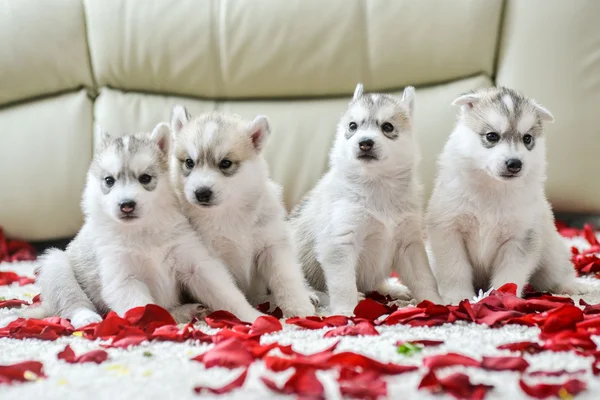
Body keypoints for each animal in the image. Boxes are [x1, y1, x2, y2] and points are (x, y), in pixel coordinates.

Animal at [14, 123, 260, 326]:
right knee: (71, 300)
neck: (143, 231)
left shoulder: (196, 264)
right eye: (109, 180)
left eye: (145, 178)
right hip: (56, 264)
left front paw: (254, 316)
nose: (126, 205)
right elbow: (145, 308)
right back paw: (87, 318)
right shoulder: (124, 279)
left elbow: (227, 294)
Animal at [170, 108, 318, 318]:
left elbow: (286, 277)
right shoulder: (211, 257)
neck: (229, 211)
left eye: (225, 163)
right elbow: (226, 293)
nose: (201, 193)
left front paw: (299, 308)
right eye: (189, 162)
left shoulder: (273, 246)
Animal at [288, 83, 442, 316]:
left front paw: (436, 303)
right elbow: (343, 285)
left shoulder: (409, 244)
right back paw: (313, 295)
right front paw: (346, 311)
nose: (365, 143)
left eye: (387, 127)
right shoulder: (340, 243)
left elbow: (424, 278)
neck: (376, 184)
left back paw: (393, 288)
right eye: (353, 126)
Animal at [424, 85, 584, 304]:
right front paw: (458, 299)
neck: (492, 188)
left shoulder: (520, 238)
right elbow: (454, 269)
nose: (515, 163)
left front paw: (503, 298)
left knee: (558, 273)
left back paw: (570, 287)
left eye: (527, 139)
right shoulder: (449, 230)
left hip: (551, 257)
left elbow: (510, 275)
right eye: (492, 136)